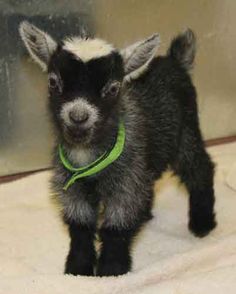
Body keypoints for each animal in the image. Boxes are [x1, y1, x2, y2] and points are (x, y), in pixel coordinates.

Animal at [19, 21, 217, 276]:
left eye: (113, 88)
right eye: (53, 82)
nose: (78, 117)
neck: (88, 155)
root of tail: (174, 60)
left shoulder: (126, 182)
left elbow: (117, 226)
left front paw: (112, 270)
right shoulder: (72, 185)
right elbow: (80, 225)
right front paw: (78, 268)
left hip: (186, 133)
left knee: (200, 169)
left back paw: (202, 223)